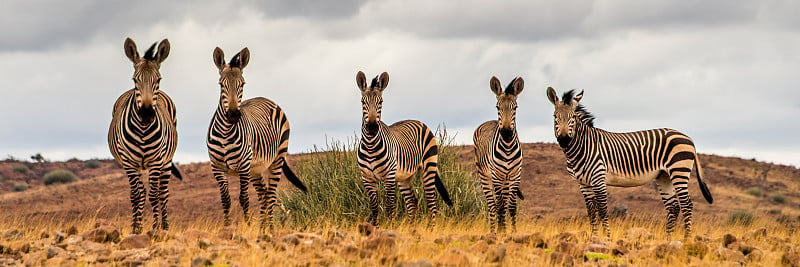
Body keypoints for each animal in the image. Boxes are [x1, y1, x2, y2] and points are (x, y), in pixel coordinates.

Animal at [108, 37, 184, 234]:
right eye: (135, 79)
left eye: (158, 79)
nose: (147, 114)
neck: (143, 130)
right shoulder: (129, 162)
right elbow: (136, 195)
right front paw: (136, 228)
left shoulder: (156, 160)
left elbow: (154, 195)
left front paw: (156, 227)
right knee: (139, 192)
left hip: (167, 161)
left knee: (162, 193)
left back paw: (165, 226)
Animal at [206, 47, 306, 231]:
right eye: (221, 84)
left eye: (242, 84)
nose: (233, 115)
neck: (225, 132)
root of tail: (265, 98)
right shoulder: (217, 167)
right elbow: (225, 200)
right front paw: (226, 228)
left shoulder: (243, 166)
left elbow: (244, 199)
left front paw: (246, 227)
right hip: (256, 169)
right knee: (264, 195)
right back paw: (263, 227)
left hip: (276, 159)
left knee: (271, 195)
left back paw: (269, 229)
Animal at [354, 71, 450, 226]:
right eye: (363, 102)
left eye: (381, 102)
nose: (372, 128)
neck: (370, 146)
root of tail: (418, 121)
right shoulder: (367, 178)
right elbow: (374, 208)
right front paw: (374, 228)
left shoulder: (389, 176)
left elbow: (389, 207)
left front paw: (389, 228)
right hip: (404, 177)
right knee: (412, 202)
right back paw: (411, 228)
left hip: (428, 167)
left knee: (431, 202)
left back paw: (431, 228)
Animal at [476, 76, 524, 233]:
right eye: (497, 107)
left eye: (515, 107)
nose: (507, 133)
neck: (508, 148)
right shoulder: (496, 176)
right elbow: (501, 206)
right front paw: (502, 232)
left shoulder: (515, 176)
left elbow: (512, 206)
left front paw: (513, 232)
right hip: (485, 176)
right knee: (493, 205)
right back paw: (493, 231)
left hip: (506, 179)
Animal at [544, 88, 712, 239]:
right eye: (555, 116)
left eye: (572, 117)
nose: (564, 140)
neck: (583, 147)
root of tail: (688, 138)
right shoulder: (583, 184)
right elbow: (591, 212)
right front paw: (594, 238)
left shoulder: (598, 179)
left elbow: (602, 210)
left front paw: (607, 238)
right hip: (664, 176)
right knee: (674, 206)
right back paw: (668, 239)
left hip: (679, 171)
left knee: (687, 205)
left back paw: (687, 239)